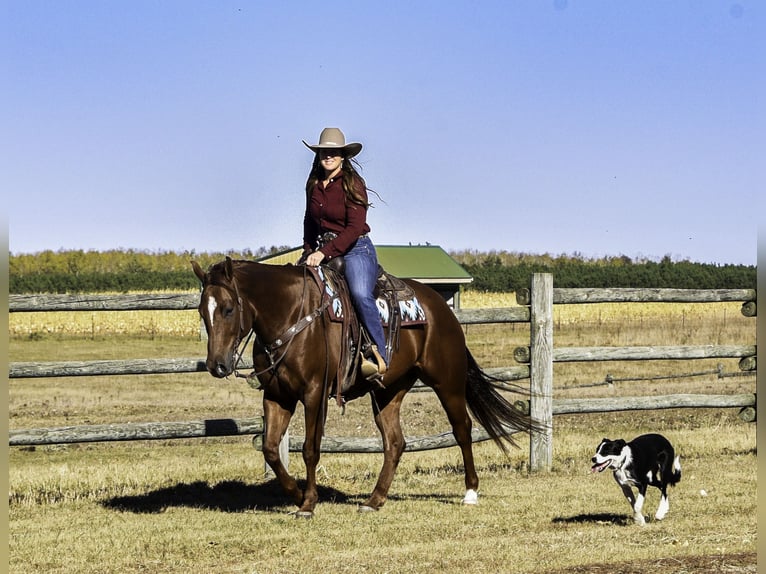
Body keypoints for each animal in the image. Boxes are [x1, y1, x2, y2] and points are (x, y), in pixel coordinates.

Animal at [195, 258, 536, 520]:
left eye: (228, 309)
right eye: (201, 310)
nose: (217, 365)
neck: (292, 315)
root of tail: (441, 307)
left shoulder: (315, 394)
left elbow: (309, 449)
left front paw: (308, 503)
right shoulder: (278, 395)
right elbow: (269, 448)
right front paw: (296, 495)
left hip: (447, 381)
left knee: (462, 429)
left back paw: (470, 491)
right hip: (388, 391)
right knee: (395, 442)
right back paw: (374, 500)